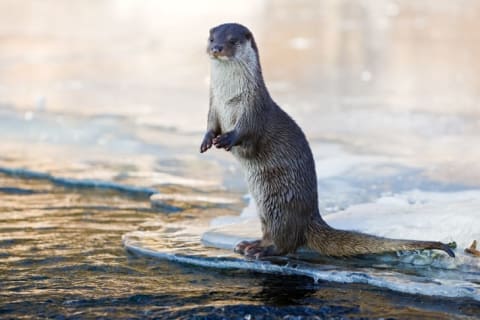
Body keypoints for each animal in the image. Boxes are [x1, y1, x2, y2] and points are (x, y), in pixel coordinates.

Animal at [199, 23, 454, 260]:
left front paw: (228, 138)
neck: (229, 99)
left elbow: (247, 131)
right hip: (264, 208)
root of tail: (311, 216)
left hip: (280, 205)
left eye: (232, 40)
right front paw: (206, 141)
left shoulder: (254, 108)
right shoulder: (213, 106)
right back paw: (248, 244)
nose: (216, 48)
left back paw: (261, 250)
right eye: (212, 38)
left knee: (286, 242)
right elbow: (211, 125)